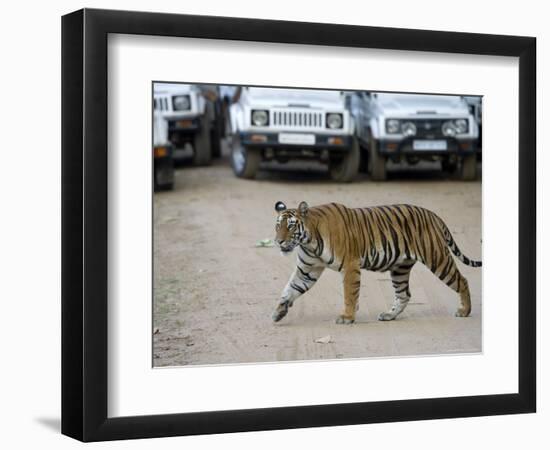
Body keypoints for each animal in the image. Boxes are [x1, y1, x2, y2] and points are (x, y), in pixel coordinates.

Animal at [272, 200, 484, 324]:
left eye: (291, 226)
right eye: (278, 226)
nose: (278, 241)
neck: (309, 241)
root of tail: (432, 214)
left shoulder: (350, 266)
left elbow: (349, 294)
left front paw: (347, 317)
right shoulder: (307, 270)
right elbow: (290, 289)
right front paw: (279, 312)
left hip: (437, 258)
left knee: (462, 280)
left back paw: (465, 311)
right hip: (400, 269)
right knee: (404, 294)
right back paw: (389, 315)